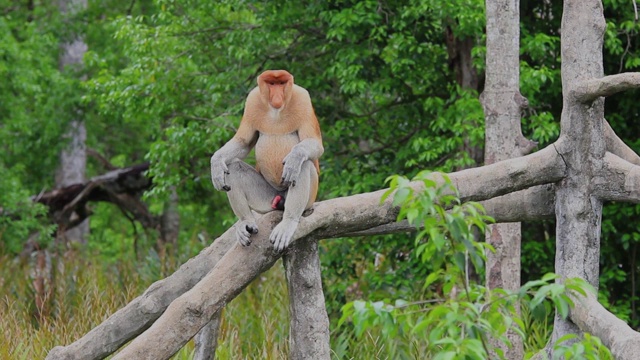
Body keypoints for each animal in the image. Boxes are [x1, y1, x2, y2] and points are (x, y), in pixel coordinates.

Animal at [210, 69, 322, 250]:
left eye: (281, 83)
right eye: (271, 84)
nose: (277, 96)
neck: (276, 112)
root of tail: (281, 198)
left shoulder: (303, 99)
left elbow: (314, 143)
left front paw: (294, 158)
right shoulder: (252, 100)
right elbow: (243, 142)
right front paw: (216, 165)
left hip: (310, 199)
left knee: (303, 165)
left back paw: (288, 222)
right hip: (267, 198)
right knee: (234, 167)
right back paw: (246, 222)